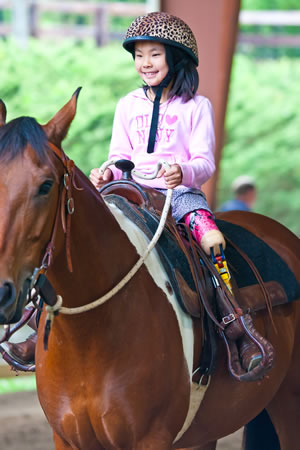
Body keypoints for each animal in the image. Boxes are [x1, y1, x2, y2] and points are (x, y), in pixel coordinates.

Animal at [0, 89, 298, 450]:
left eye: (46, 185)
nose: (2, 292)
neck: (90, 335)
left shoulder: (151, 438)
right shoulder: (66, 439)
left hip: (289, 403)